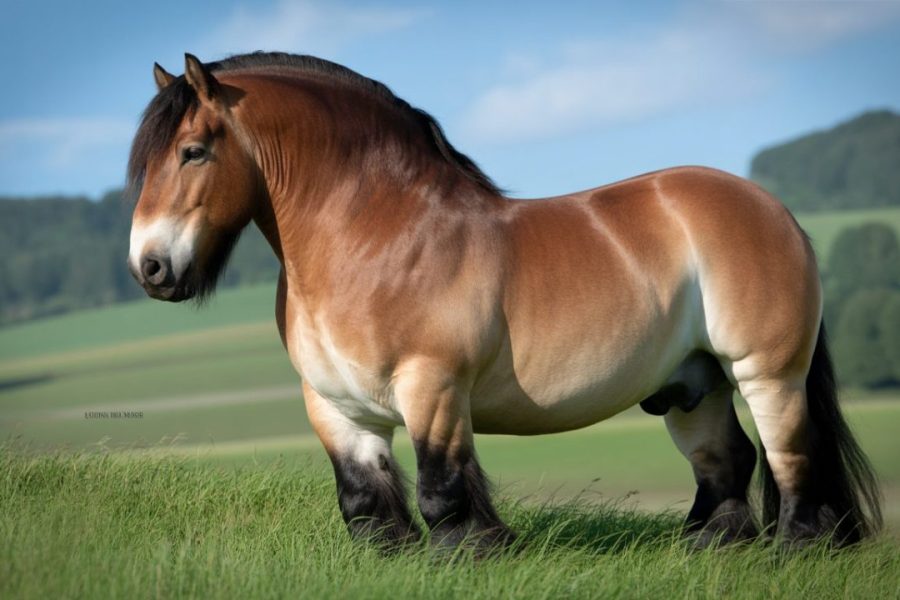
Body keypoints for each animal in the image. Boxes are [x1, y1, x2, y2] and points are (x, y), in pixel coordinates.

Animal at [127, 52, 881, 552]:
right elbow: (364, 500)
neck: (376, 237)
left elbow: (440, 489)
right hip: (694, 385)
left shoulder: (431, 387)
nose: (150, 268)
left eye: (193, 151)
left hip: (766, 374)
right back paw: (707, 549)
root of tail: (774, 210)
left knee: (792, 461)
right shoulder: (334, 407)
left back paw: (796, 550)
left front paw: (476, 552)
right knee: (728, 463)